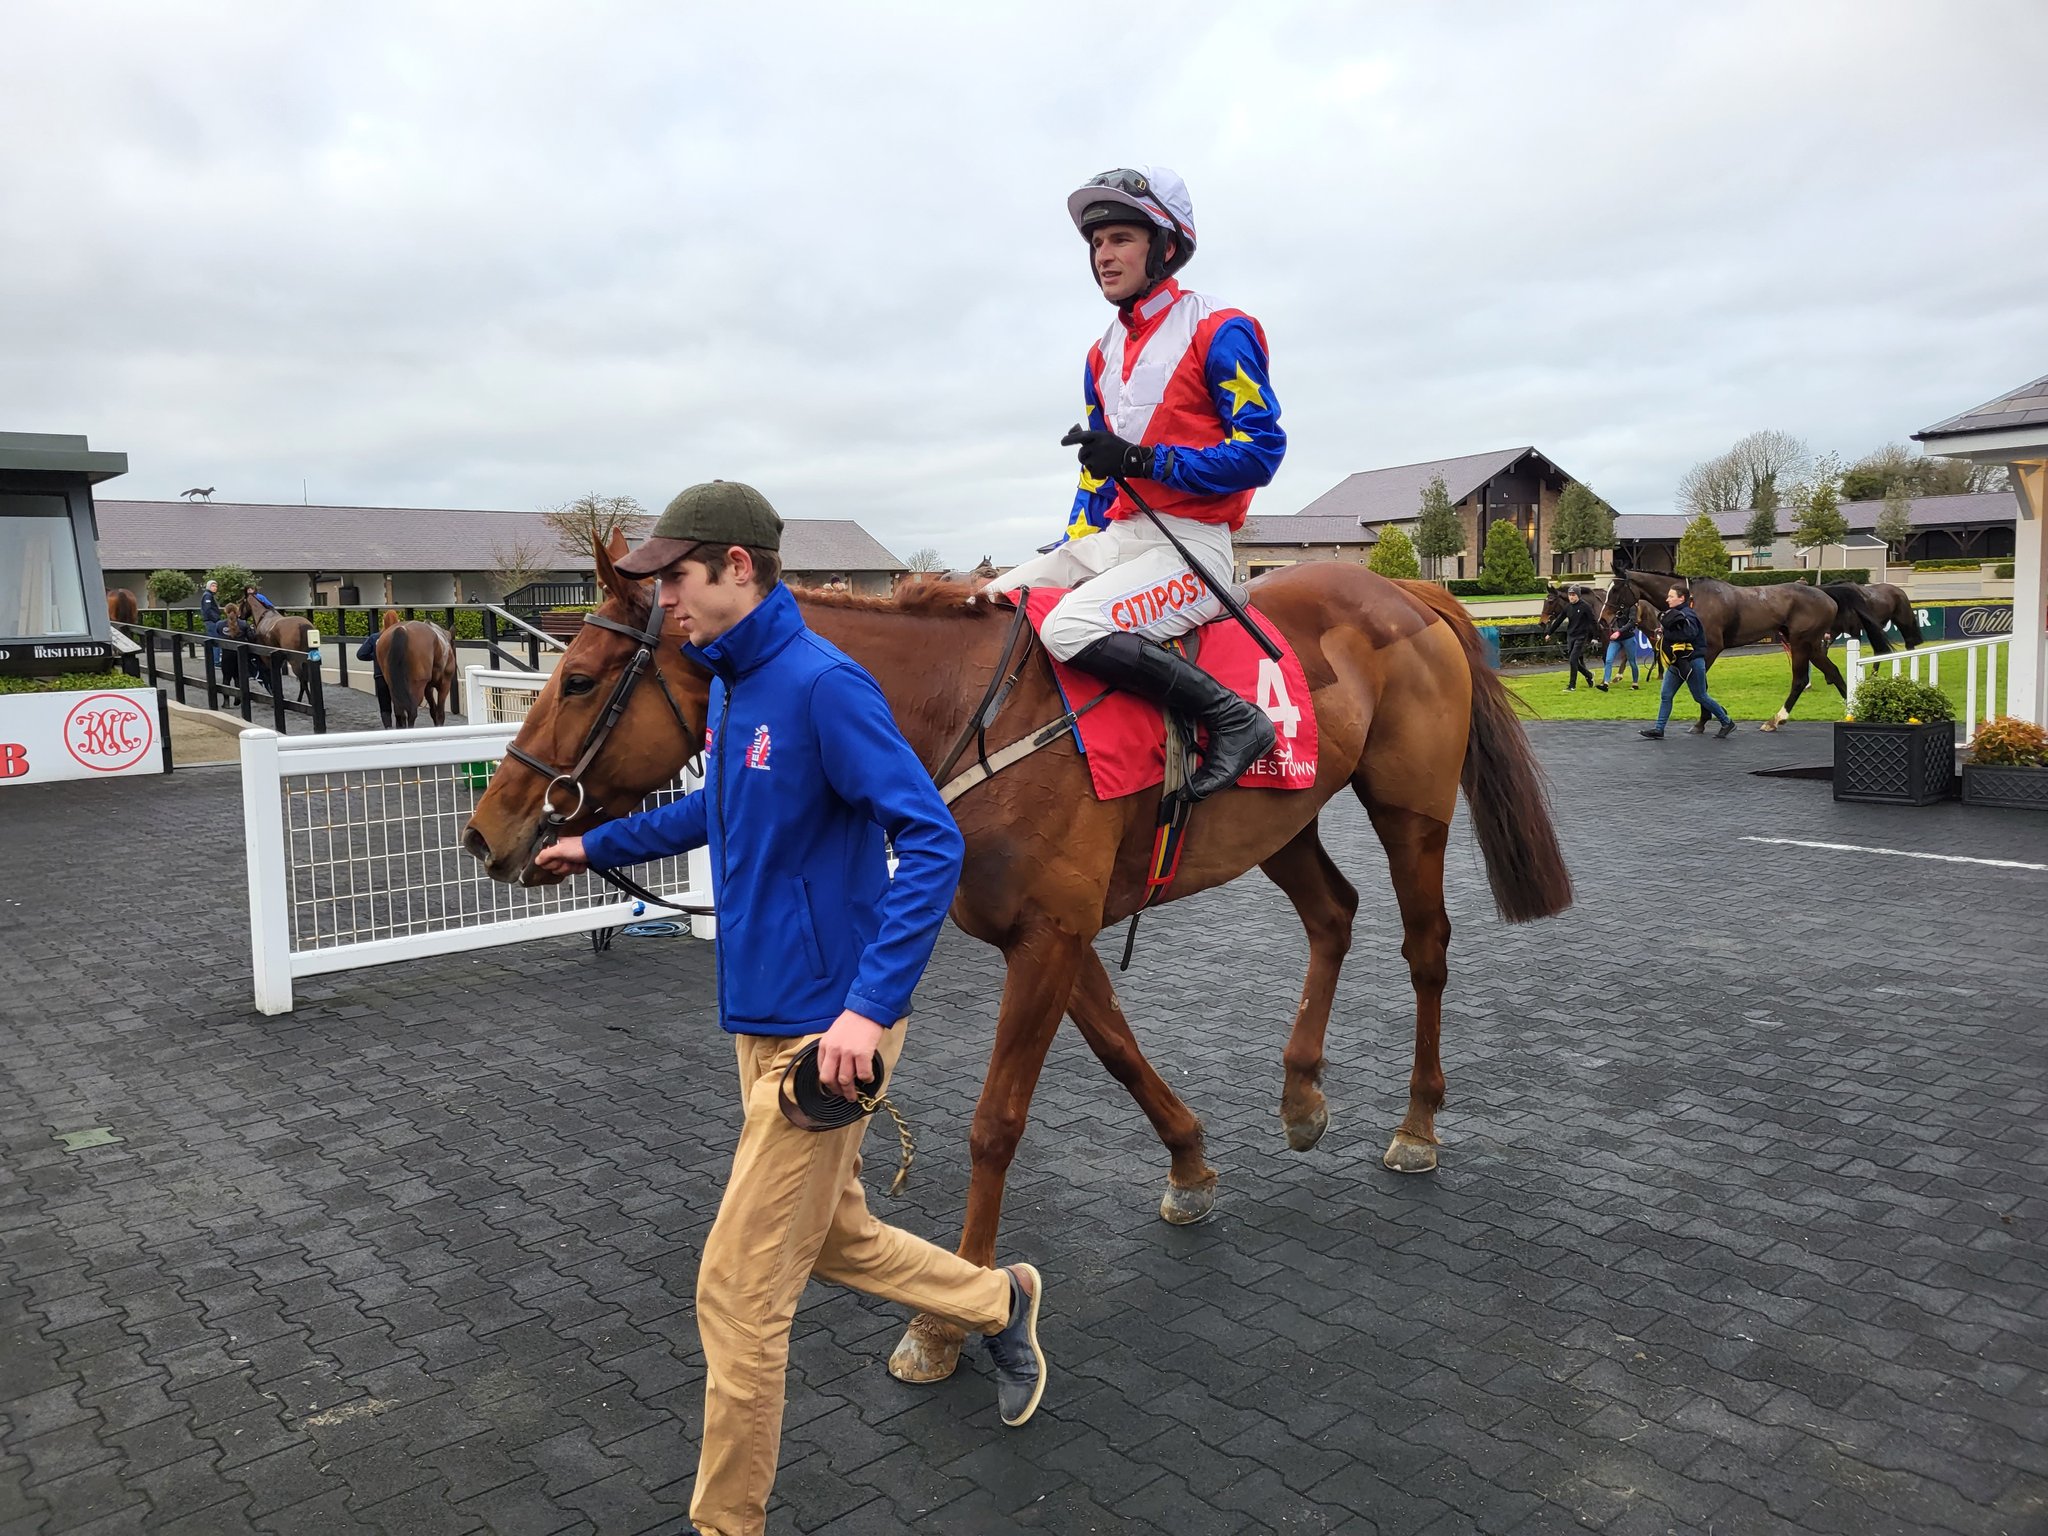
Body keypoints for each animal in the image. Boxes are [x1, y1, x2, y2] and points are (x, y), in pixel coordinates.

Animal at [468, 536, 1564, 1384]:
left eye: (576, 680)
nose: (489, 830)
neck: (964, 715)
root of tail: (1410, 594)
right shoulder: (1051, 935)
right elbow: (1119, 1050)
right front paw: (1190, 1164)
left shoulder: (1047, 937)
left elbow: (995, 1124)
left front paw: (945, 1324)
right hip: (1280, 817)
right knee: (1332, 916)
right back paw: (1300, 1095)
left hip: (1409, 809)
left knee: (1425, 948)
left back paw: (1417, 1122)